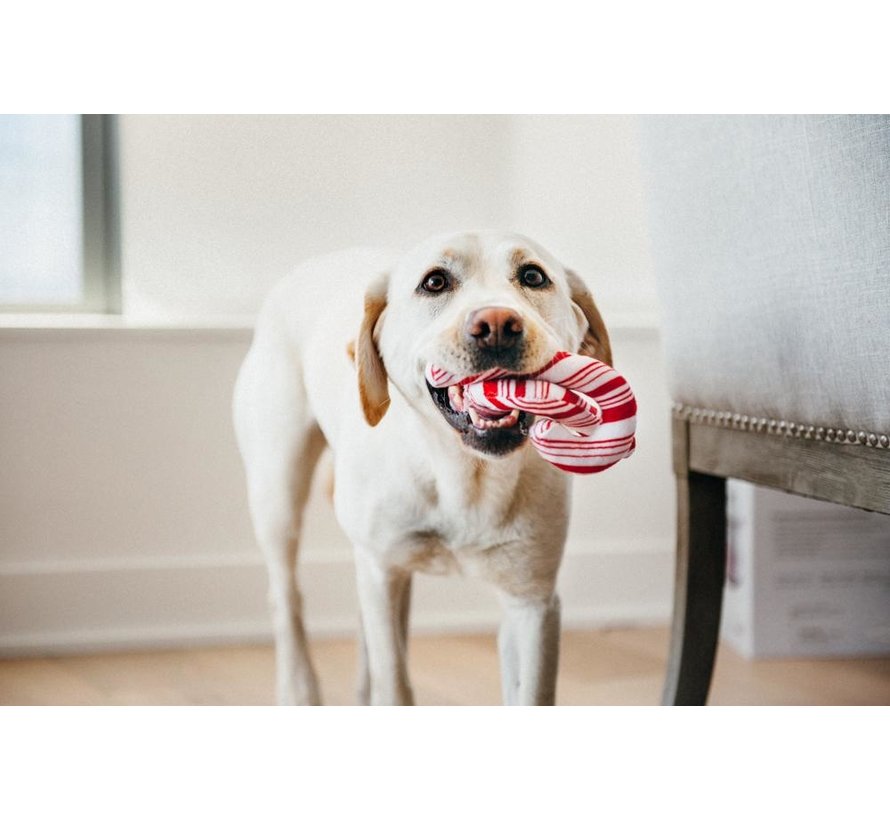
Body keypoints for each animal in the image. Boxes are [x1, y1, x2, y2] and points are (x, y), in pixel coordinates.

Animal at [234, 231, 612, 704]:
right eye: (434, 282)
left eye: (532, 276)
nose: (497, 325)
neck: (462, 475)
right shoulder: (381, 571)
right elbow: (395, 684)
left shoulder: (533, 602)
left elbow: (531, 692)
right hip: (278, 497)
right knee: (286, 599)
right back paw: (298, 690)